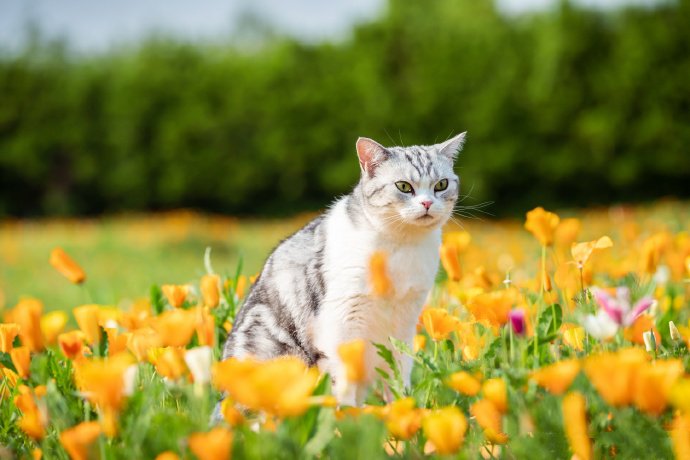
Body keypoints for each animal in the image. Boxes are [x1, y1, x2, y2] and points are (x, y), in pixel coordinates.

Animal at [215, 133, 462, 414]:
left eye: (441, 185)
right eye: (404, 186)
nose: (427, 203)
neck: (402, 245)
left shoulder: (404, 322)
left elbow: (399, 371)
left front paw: (402, 409)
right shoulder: (343, 318)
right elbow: (343, 379)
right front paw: (347, 416)